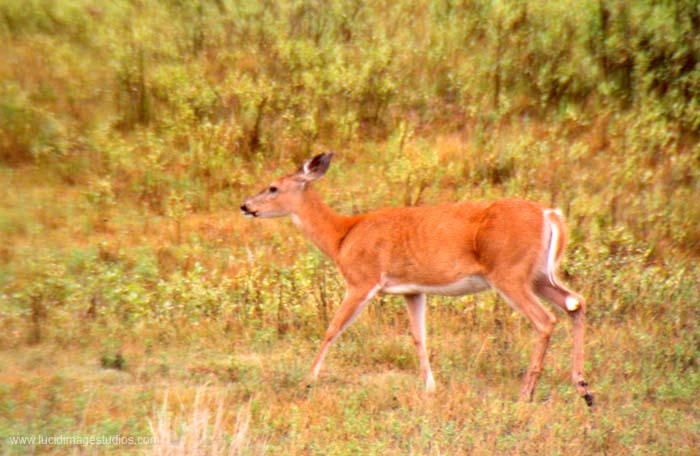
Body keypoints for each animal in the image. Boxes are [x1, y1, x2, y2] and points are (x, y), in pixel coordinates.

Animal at [239, 153, 592, 406]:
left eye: (272, 187)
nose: (245, 205)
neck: (342, 237)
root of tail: (549, 214)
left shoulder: (362, 279)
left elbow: (332, 328)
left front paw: (307, 381)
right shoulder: (413, 290)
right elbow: (419, 337)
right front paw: (430, 387)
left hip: (510, 273)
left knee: (545, 319)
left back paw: (526, 393)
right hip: (538, 275)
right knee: (575, 302)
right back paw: (583, 388)